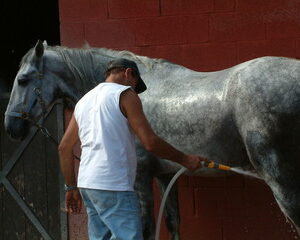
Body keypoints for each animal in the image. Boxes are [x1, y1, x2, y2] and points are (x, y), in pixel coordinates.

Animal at [4, 40, 300, 239]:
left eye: (22, 80)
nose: (11, 127)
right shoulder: (166, 176)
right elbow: (173, 222)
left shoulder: (140, 177)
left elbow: (144, 229)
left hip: (280, 178)